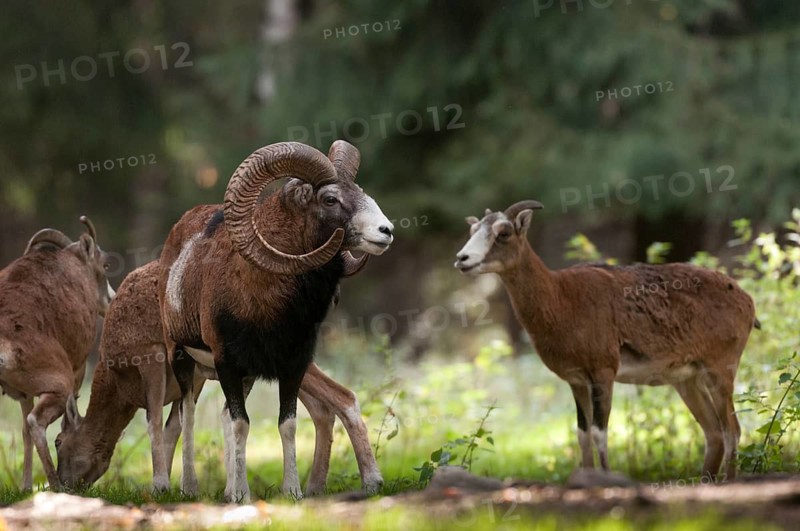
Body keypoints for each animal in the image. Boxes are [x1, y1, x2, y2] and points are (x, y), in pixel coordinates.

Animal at [0, 217, 114, 490]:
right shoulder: (76, 375)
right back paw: (55, 485)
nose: (112, 300)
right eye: (105, 264)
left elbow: (22, 432)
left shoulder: (23, 394)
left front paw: (25, 487)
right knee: (36, 422)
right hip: (59, 387)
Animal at [56, 259, 383, 495]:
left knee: (344, 397)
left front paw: (161, 486)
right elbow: (179, 425)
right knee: (321, 408)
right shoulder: (198, 376)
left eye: (58, 441)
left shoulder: (150, 356)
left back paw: (371, 481)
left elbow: (155, 423)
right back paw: (315, 486)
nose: (62, 483)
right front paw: (187, 489)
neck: (117, 377)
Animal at [158, 140, 393, 501]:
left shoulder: (290, 365)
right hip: (182, 360)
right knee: (187, 418)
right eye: (330, 199)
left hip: (243, 377)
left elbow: (287, 423)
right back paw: (189, 489)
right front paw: (242, 496)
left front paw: (292, 492)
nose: (386, 231)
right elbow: (241, 424)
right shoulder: (227, 363)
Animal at [455, 200, 758, 481]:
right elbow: (582, 434)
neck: (562, 301)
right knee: (714, 433)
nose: (462, 258)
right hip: (687, 380)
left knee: (732, 431)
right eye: (472, 229)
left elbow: (600, 433)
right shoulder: (576, 380)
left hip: (720, 369)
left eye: (503, 232)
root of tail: (747, 302)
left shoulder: (604, 371)